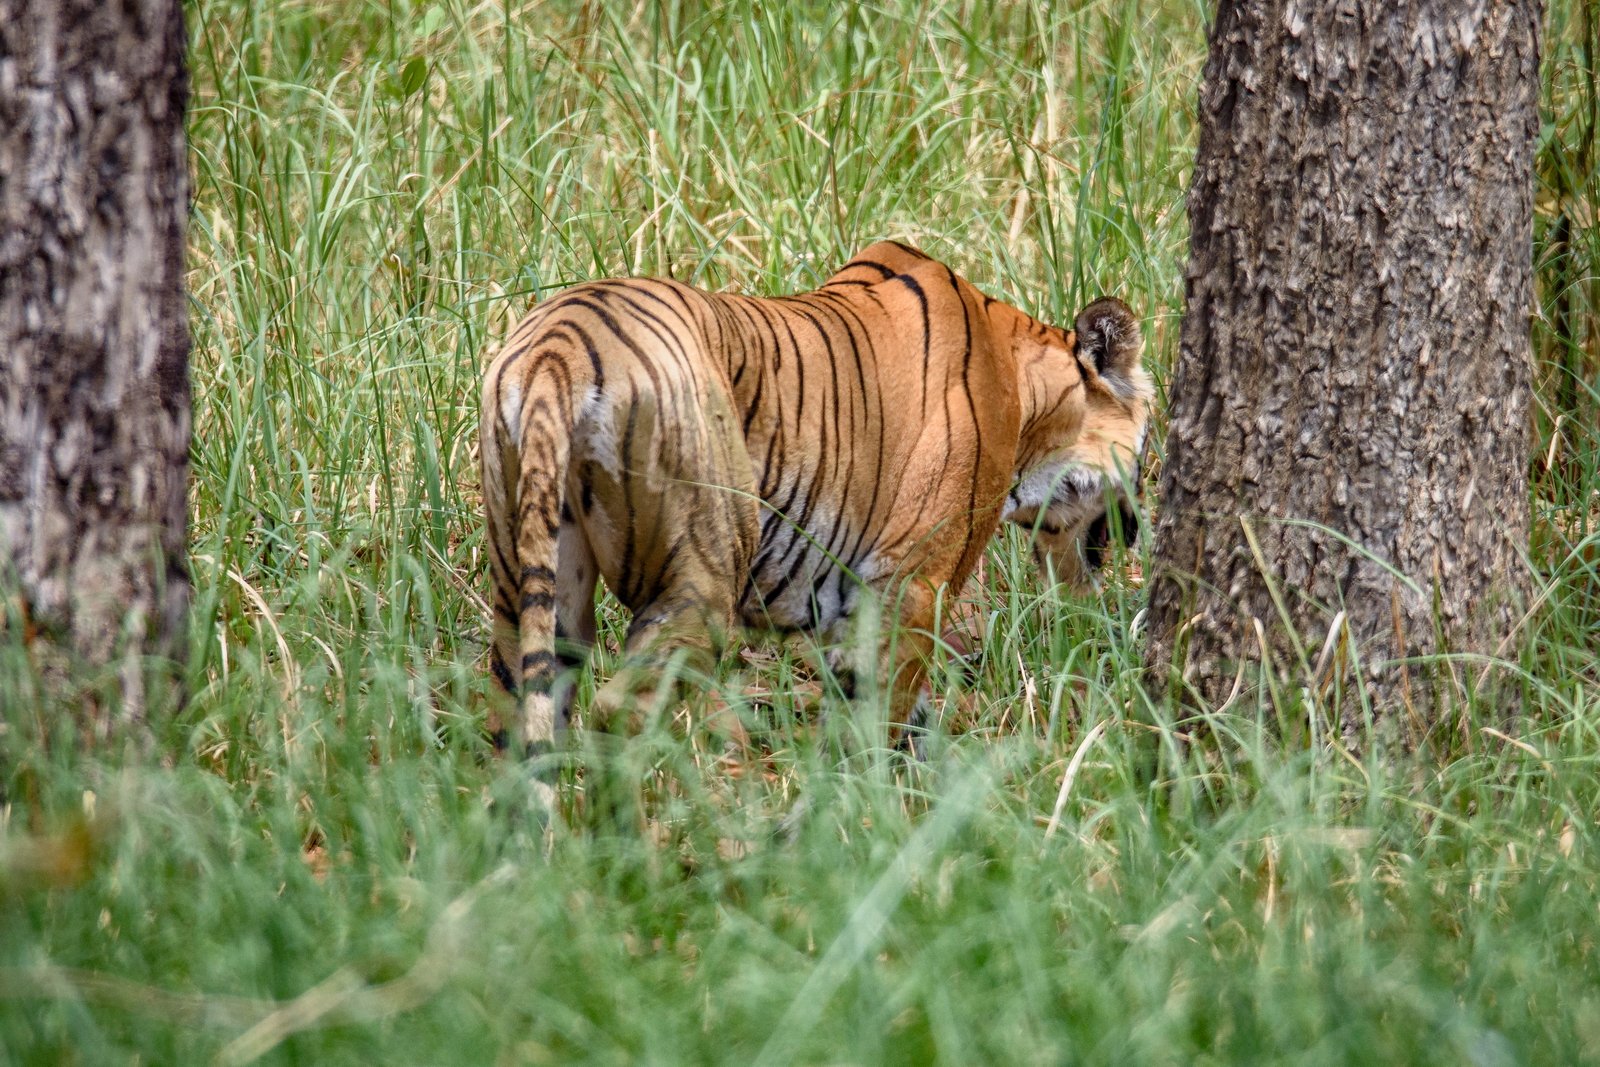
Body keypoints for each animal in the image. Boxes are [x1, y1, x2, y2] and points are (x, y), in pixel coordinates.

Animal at [480, 240, 1151, 767]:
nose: (1135, 529)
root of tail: (560, 346)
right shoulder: (914, 588)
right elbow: (879, 722)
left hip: (534, 586)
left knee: (518, 725)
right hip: (700, 577)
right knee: (621, 709)